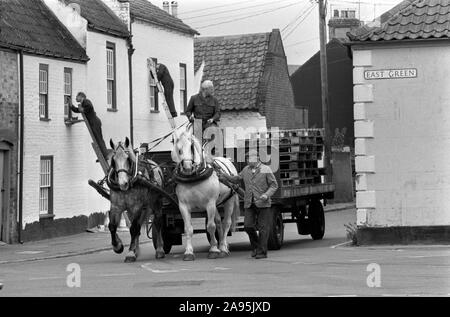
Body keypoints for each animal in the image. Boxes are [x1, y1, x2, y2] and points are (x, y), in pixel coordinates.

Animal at [171, 127, 239, 260]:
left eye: (191, 147)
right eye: (179, 149)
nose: (187, 167)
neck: (194, 177)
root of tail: (227, 160)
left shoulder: (210, 204)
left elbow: (210, 226)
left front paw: (213, 250)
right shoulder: (183, 206)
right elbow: (188, 229)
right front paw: (188, 252)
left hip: (229, 201)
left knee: (226, 223)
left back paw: (223, 248)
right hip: (218, 203)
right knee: (219, 223)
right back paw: (221, 245)